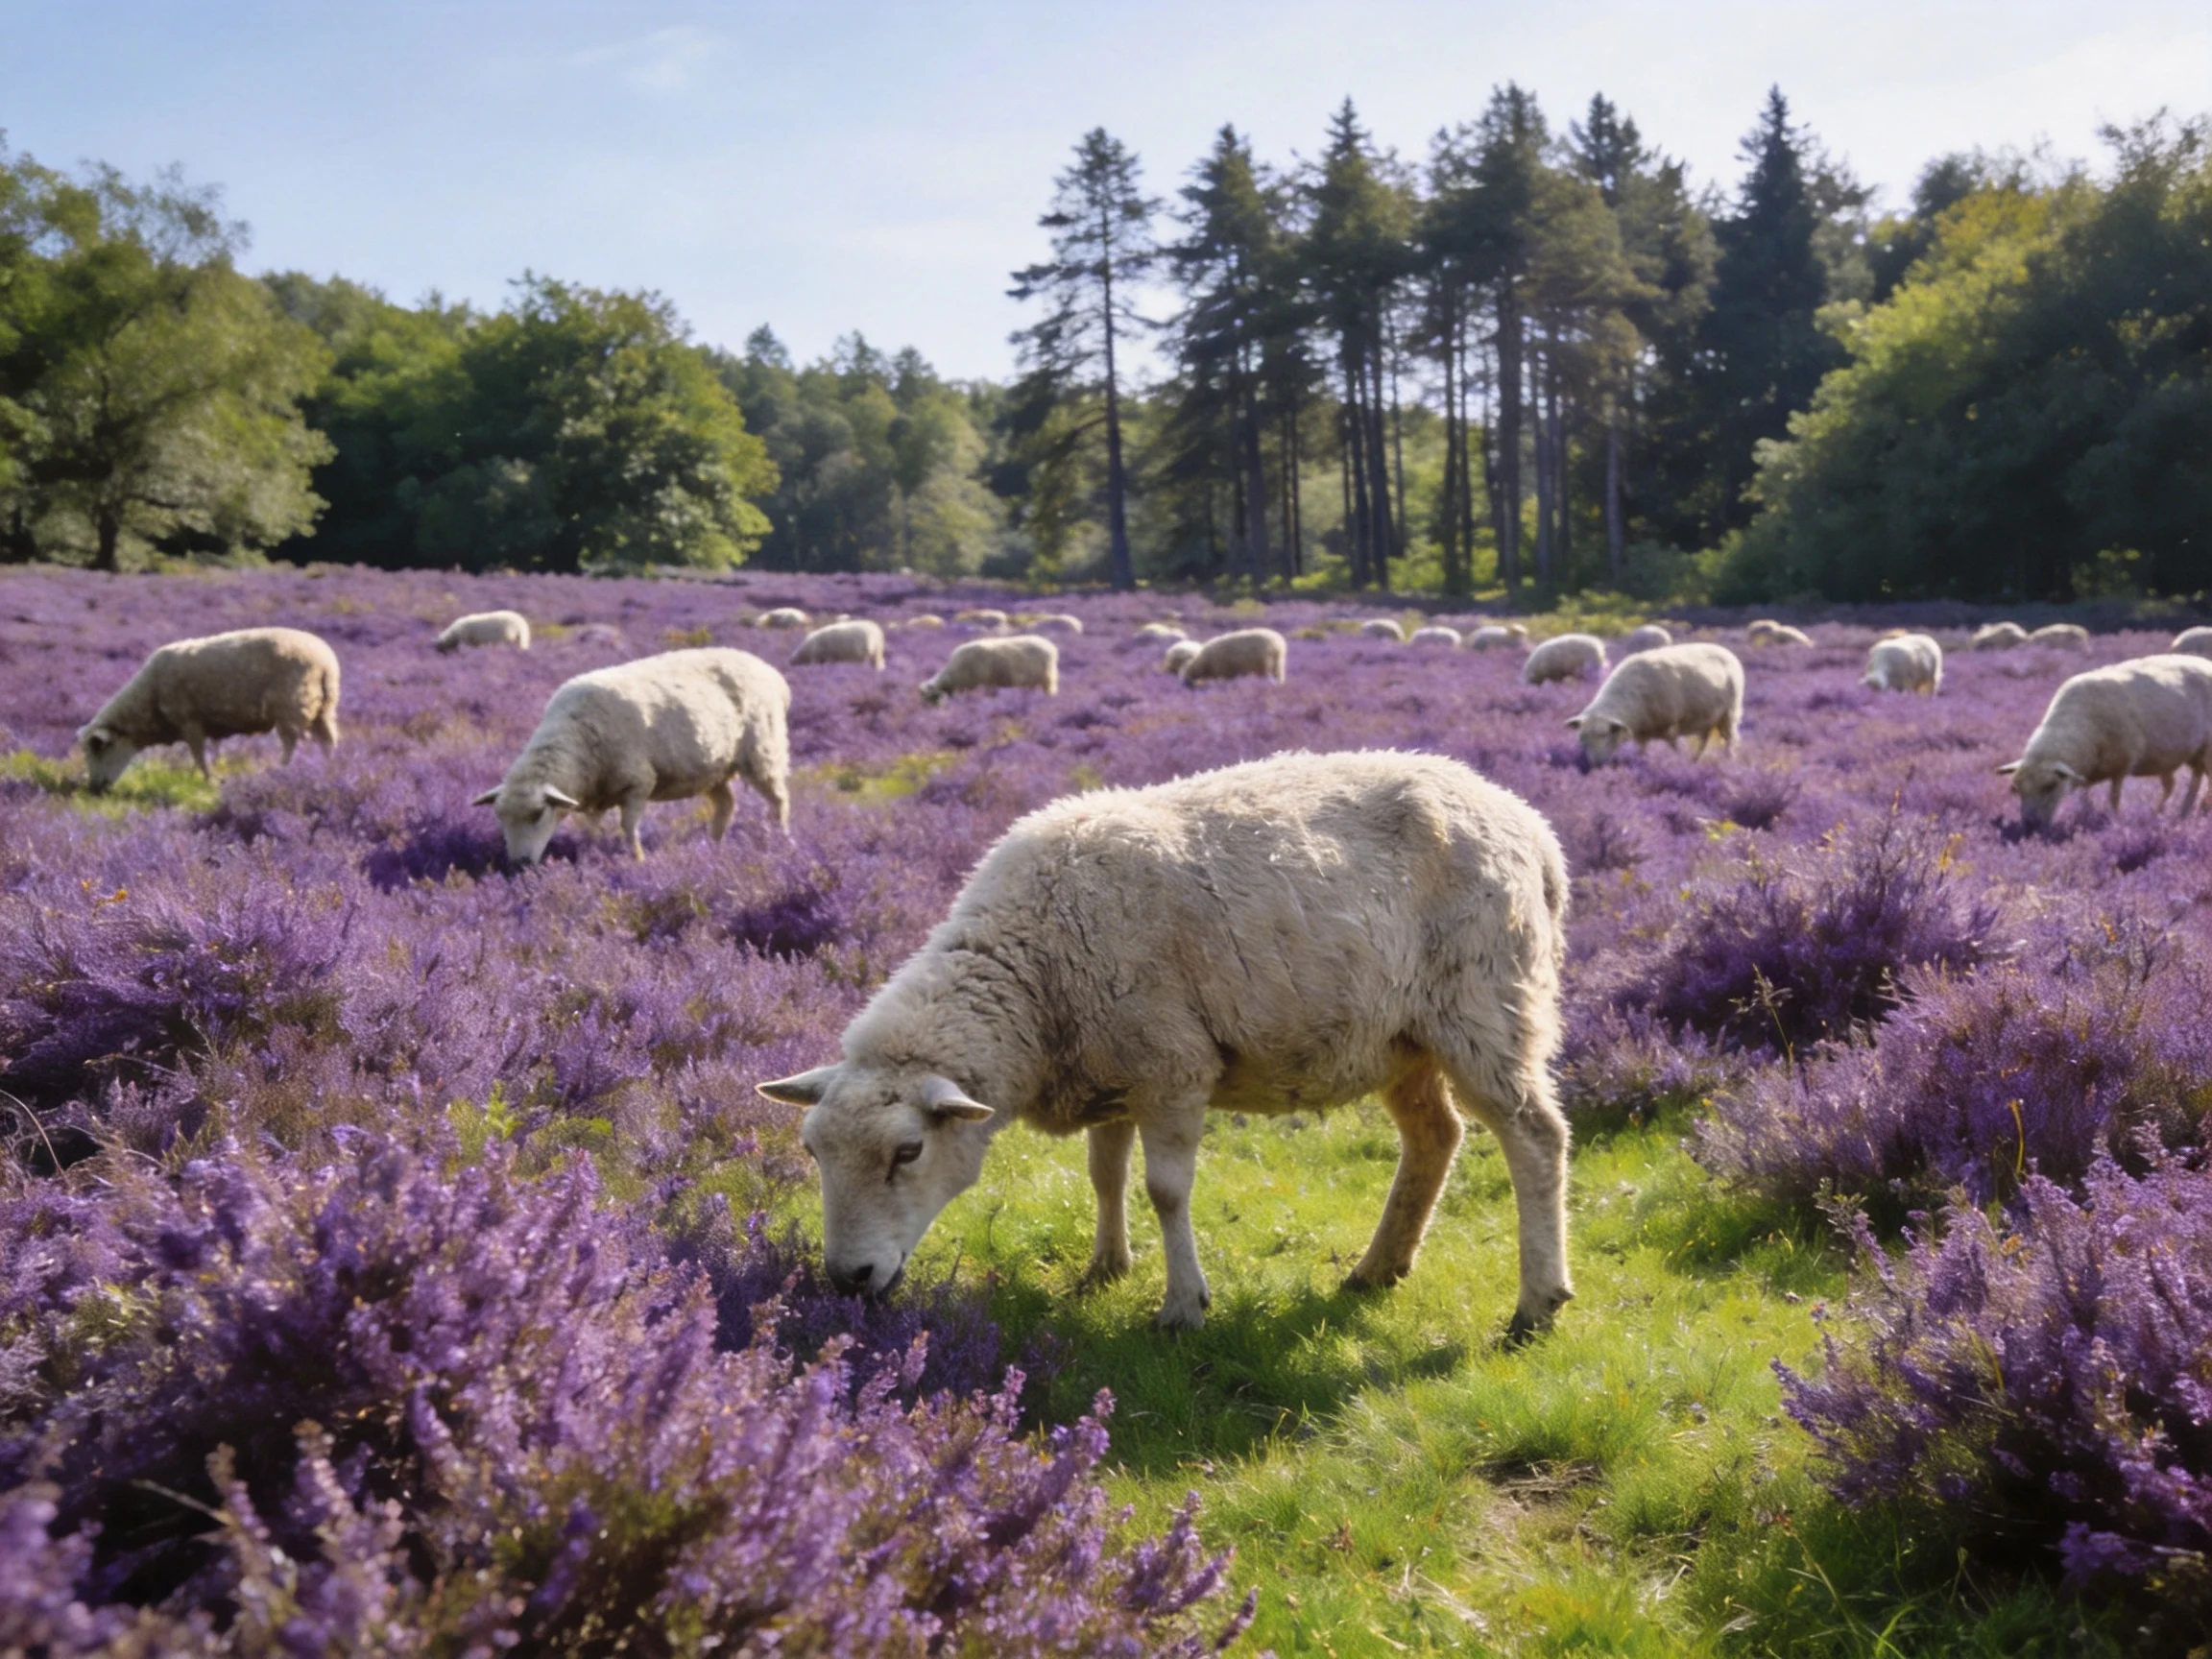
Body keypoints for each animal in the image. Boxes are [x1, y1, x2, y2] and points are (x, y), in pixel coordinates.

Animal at [78, 627, 341, 792]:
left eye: (100, 749)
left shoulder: (189, 721)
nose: (94, 790)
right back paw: (328, 771)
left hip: (291, 707)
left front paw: (209, 780)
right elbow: (204, 753)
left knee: (290, 747)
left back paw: (280, 773)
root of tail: (325, 662)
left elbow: (198, 754)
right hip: (324, 709)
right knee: (328, 742)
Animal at [472, 647, 790, 862]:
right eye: (499, 817)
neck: (576, 734)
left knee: (779, 800)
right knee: (727, 804)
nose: (519, 865)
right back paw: (715, 848)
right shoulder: (597, 795)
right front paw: (593, 855)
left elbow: (628, 828)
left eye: (538, 813)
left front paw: (637, 860)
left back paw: (781, 841)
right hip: (712, 769)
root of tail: (770, 672)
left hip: (763, 752)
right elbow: (592, 830)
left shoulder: (638, 783)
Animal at [757, 750, 1574, 1337]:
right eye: (812, 1152)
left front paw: (1182, 1306)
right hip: (1402, 1037)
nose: (848, 1280)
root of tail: (1533, 828)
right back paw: (1379, 1267)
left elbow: (1165, 1190)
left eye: (909, 1152)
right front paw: (1104, 1268)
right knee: (1436, 1136)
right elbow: (1104, 1175)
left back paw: (1536, 1303)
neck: (1033, 971)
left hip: (1488, 1004)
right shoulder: (1109, 1065)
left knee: (1534, 1136)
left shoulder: (1172, 1066)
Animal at [1566, 643, 1744, 766]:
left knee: (1730, 741)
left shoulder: (1671, 727)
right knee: (1704, 740)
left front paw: (1679, 766)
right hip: (1707, 716)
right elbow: (1641, 752)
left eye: (1604, 735)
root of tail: (1724, 650)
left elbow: (1675, 750)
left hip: (1729, 713)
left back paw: (1729, 762)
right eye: (1582, 738)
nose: (1595, 764)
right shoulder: (1641, 734)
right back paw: (1695, 761)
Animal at [1997, 654, 2212, 830]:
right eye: (2015, 789)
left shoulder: (2121, 764)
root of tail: (2205, 662)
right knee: (2190, 781)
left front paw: (2114, 821)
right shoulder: (2086, 772)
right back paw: (2173, 814)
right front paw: (2086, 817)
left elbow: (2113, 798)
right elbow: (2084, 798)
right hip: (2189, 754)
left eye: (2050, 786)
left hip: (2207, 749)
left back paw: (2193, 812)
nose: (2030, 826)